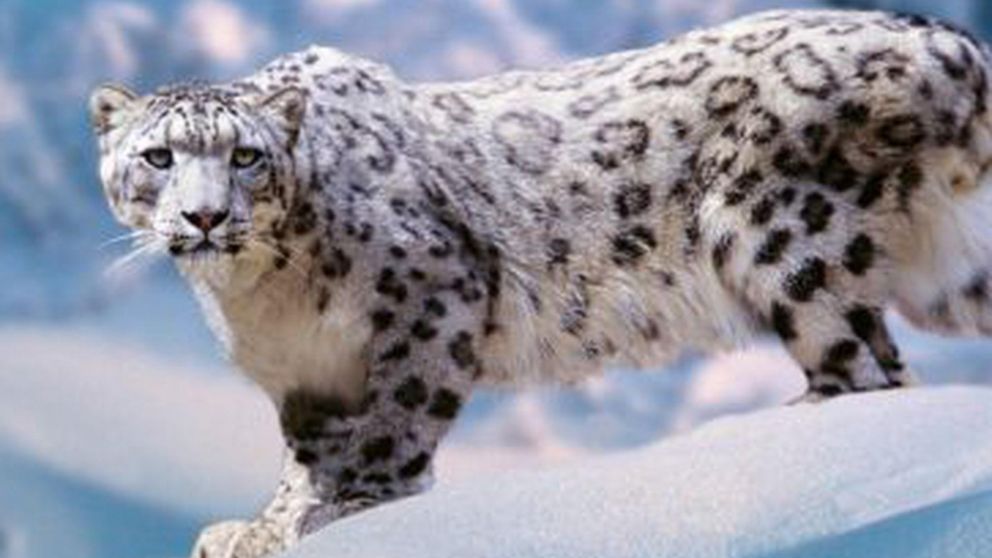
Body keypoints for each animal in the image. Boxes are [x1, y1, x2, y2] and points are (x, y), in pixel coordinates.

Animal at [89, 9, 992, 558]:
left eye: (246, 156)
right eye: (158, 156)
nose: (206, 217)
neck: (260, 298)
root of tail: (943, 38)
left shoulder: (432, 295)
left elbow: (395, 424)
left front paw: (355, 508)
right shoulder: (307, 378)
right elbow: (306, 459)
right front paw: (268, 527)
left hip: (781, 234)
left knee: (865, 368)